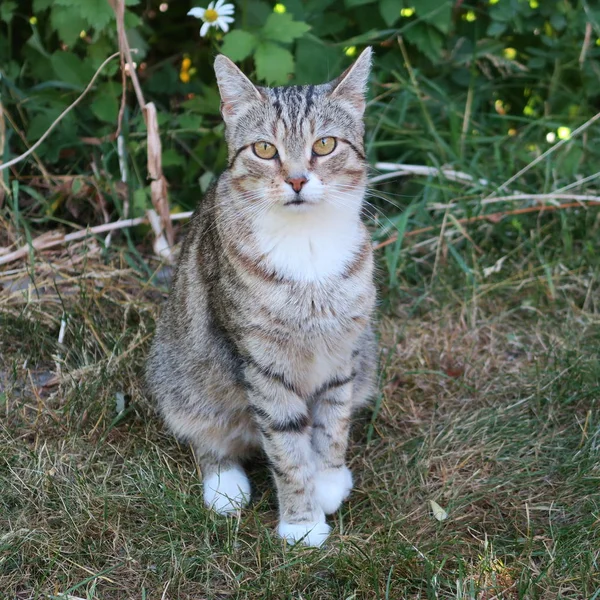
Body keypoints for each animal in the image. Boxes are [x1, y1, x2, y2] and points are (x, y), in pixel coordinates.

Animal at [146, 49, 378, 548]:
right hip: (180, 375)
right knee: (205, 431)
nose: (297, 180)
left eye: (325, 145)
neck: (307, 246)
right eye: (265, 149)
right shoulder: (261, 360)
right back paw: (224, 485)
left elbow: (334, 418)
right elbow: (286, 444)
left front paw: (328, 479)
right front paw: (302, 522)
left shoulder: (342, 348)